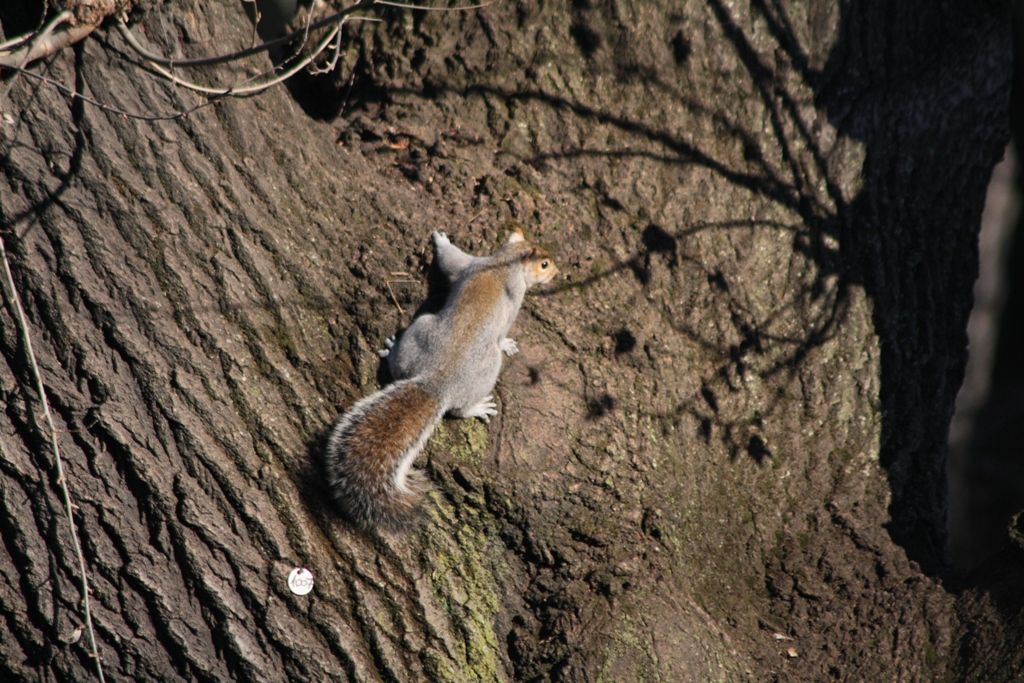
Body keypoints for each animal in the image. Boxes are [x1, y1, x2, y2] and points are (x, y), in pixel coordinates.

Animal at [323, 229, 557, 528]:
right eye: (544, 264)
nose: (558, 272)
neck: (505, 263)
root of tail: (438, 383)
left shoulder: (473, 264)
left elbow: (452, 264)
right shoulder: (508, 291)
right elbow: (455, 264)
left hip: (420, 331)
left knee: (400, 368)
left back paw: (391, 352)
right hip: (486, 367)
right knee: (460, 410)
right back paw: (477, 407)